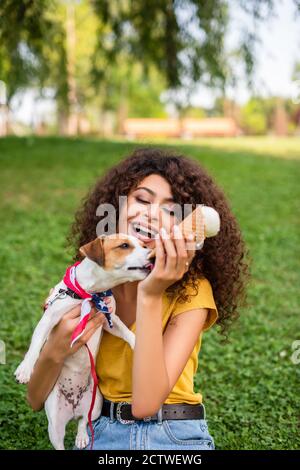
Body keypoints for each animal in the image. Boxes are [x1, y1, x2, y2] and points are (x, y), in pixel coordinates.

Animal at [14, 234, 154, 448]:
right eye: (124, 245)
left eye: (144, 245)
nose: (153, 255)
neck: (90, 294)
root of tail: (74, 408)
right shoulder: (49, 319)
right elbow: (36, 346)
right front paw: (25, 369)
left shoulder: (108, 319)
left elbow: (125, 331)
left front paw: (137, 342)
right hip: (54, 425)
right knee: (61, 441)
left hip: (95, 405)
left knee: (83, 422)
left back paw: (81, 437)